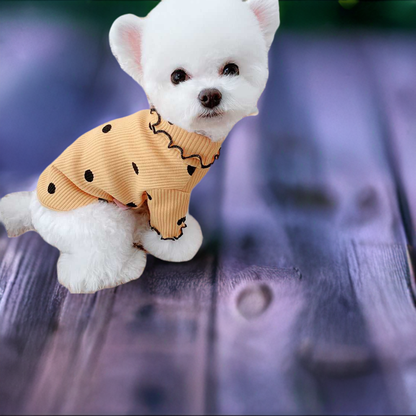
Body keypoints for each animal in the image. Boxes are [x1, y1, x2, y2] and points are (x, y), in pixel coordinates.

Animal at [0, 0, 282, 292]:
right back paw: (126, 267)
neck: (179, 134)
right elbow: (170, 229)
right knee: (87, 269)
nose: (210, 95)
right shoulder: (166, 192)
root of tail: (33, 206)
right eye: (177, 76)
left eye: (231, 69)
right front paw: (175, 247)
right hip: (97, 219)